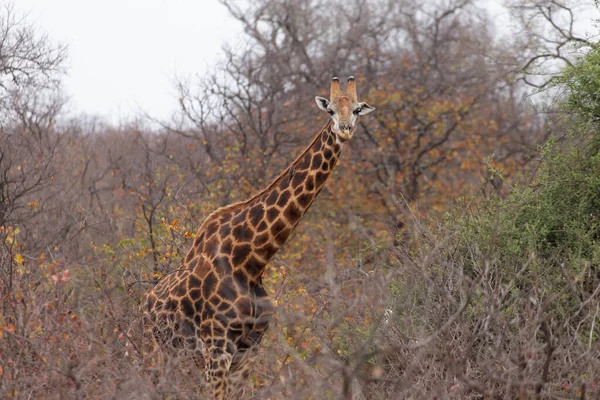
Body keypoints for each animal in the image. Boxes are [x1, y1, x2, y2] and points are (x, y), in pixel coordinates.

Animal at [142, 76, 372, 398]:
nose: (345, 130)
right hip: (164, 352)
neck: (252, 261)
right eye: (330, 111)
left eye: (356, 109)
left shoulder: (249, 349)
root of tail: (146, 304)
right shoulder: (217, 347)